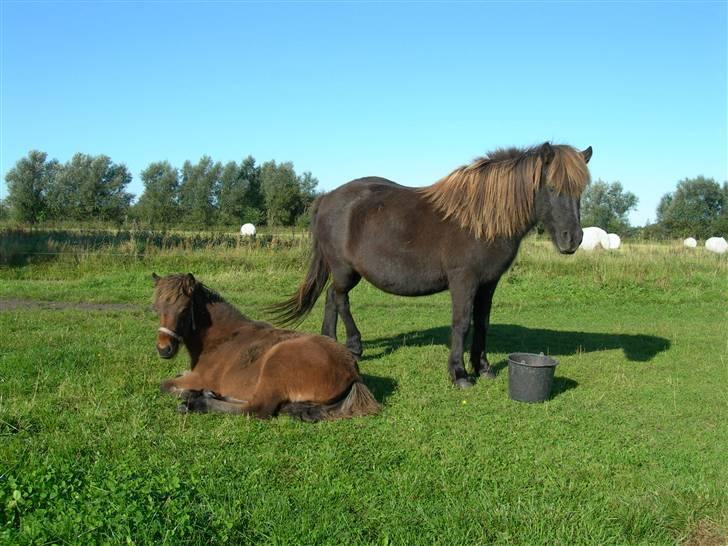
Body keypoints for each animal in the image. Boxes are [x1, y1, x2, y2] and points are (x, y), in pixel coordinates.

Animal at [154, 272, 382, 420]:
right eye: (155, 308)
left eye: (184, 310)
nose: (163, 349)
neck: (221, 338)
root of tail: (352, 371)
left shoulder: (200, 377)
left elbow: (165, 385)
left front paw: (189, 394)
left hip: (275, 367)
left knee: (257, 408)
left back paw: (198, 402)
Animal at [270, 141, 588, 386]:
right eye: (551, 186)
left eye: (581, 190)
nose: (572, 239)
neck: (480, 219)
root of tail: (326, 198)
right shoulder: (464, 280)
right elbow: (462, 323)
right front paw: (459, 374)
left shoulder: (488, 283)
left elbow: (482, 323)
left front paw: (483, 368)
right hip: (345, 270)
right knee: (340, 299)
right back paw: (355, 345)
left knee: (331, 298)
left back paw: (332, 342)